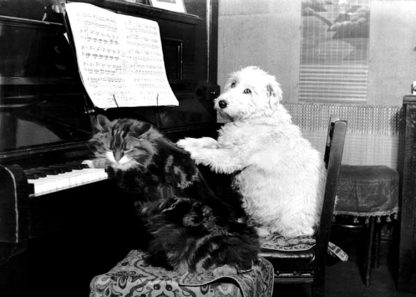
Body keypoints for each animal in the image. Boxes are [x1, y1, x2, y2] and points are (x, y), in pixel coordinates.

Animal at [85, 114, 258, 272]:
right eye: (110, 147)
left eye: (127, 149)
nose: (117, 157)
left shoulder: (137, 181)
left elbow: (119, 169)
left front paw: (95, 162)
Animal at [177, 66, 326, 237]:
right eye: (233, 84)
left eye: (247, 91)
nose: (221, 103)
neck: (255, 119)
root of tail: (315, 225)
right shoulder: (225, 145)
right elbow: (208, 140)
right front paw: (187, 141)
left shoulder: (232, 158)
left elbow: (211, 154)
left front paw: (190, 150)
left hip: (290, 220)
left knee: (284, 230)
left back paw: (260, 230)